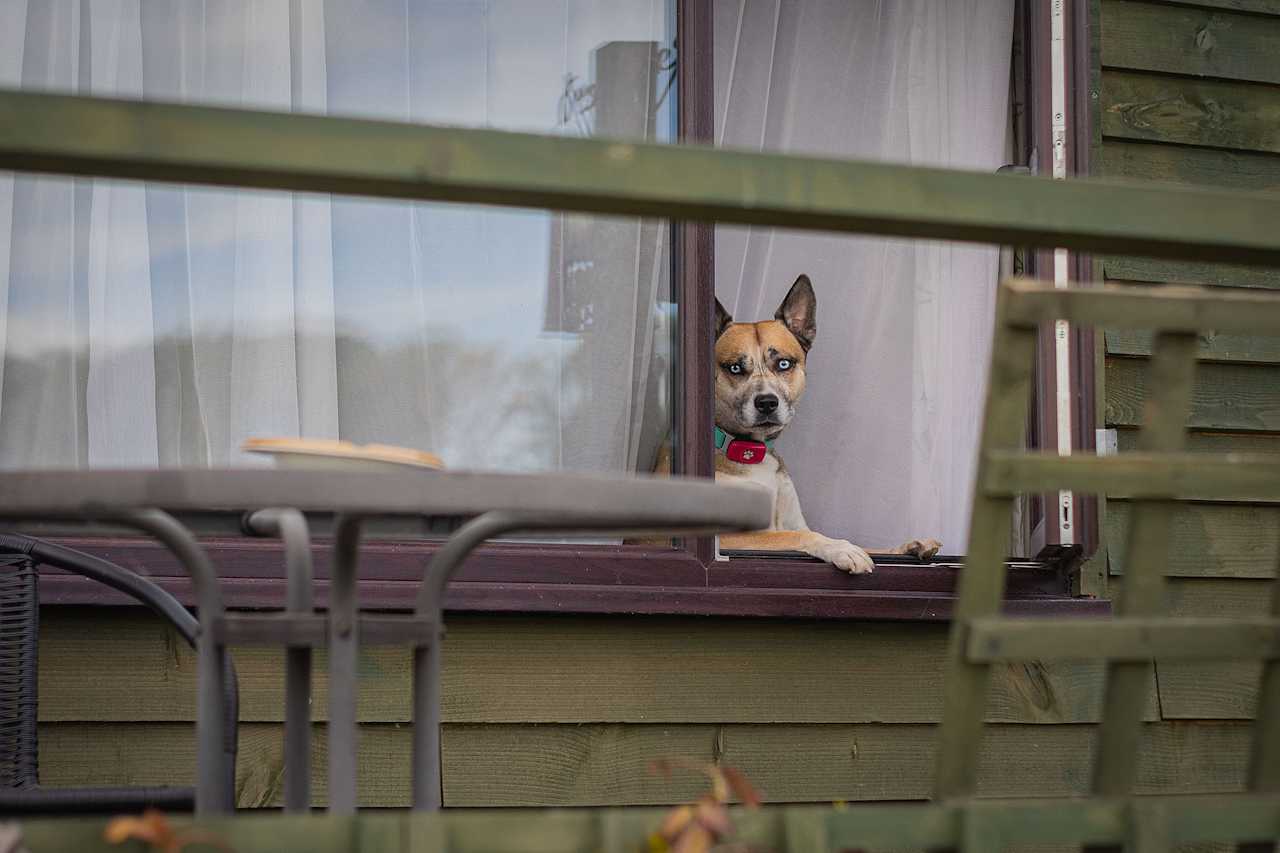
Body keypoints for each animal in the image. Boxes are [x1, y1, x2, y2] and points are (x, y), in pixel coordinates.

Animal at [655, 275, 936, 573]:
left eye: (784, 364)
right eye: (734, 368)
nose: (767, 402)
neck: (750, 453)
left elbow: (864, 546)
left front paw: (907, 547)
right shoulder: (729, 539)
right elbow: (797, 535)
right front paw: (841, 547)